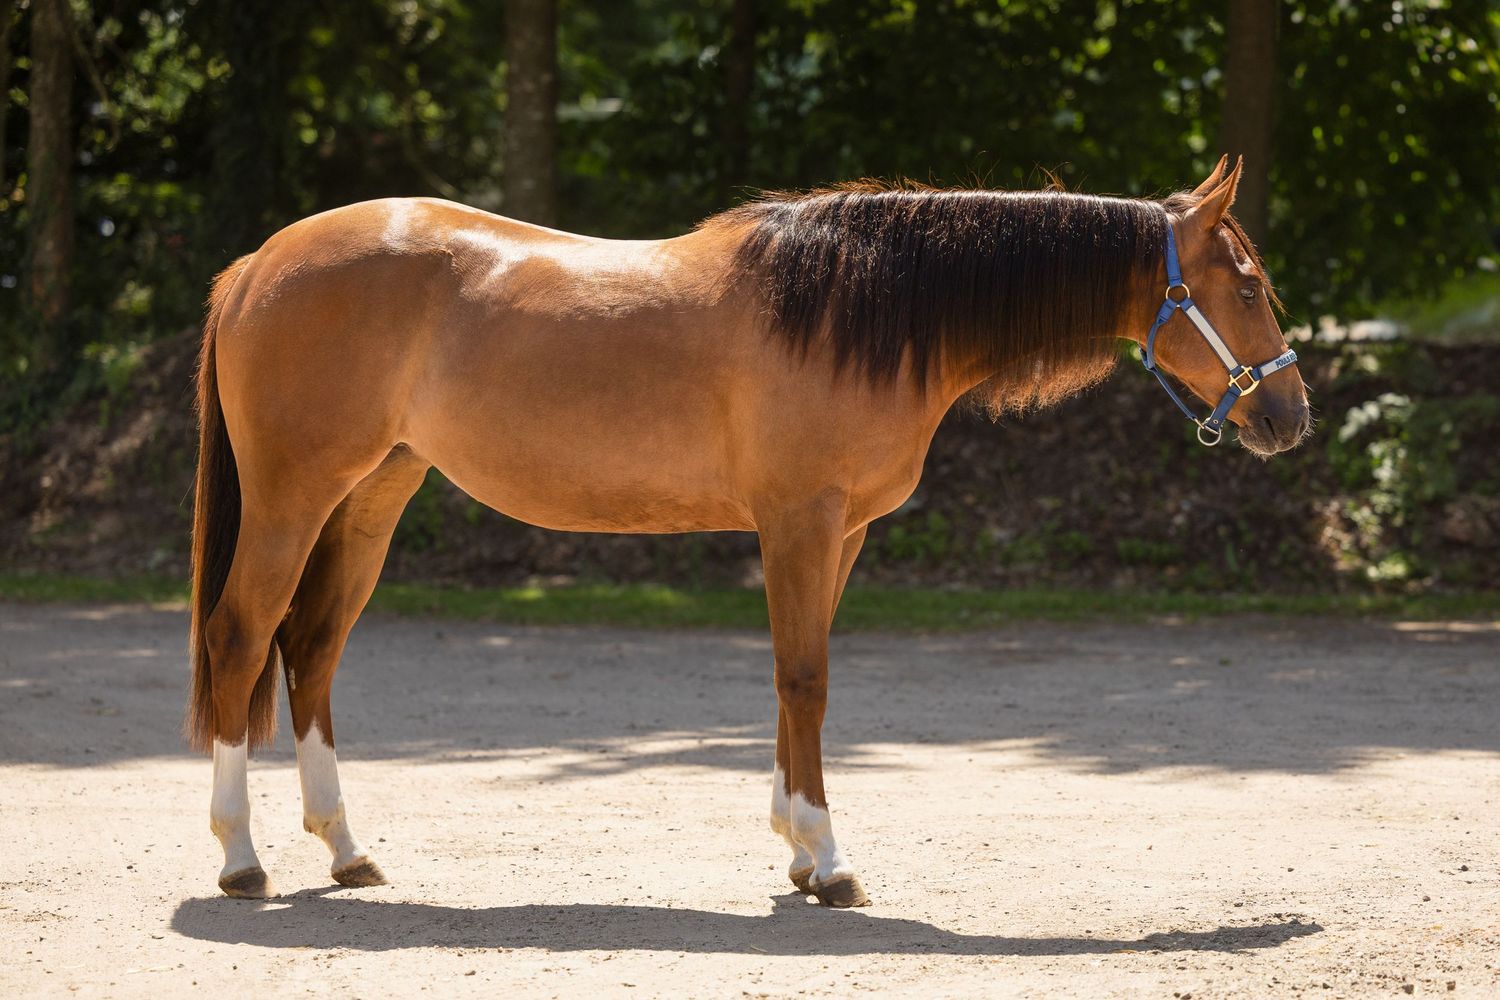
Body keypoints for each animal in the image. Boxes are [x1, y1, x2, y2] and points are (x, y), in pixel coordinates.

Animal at [187, 155, 1310, 906]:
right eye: (1249, 284)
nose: (1290, 417)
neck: (861, 310)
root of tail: (254, 264)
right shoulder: (800, 522)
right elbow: (806, 679)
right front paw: (832, 859)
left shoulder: (840, 533)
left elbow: (791, 679)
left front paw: (798, 851)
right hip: (295, 496)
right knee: (242, 637)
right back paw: (241, 858)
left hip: (373, 494)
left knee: (312, 647)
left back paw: (344, 849)